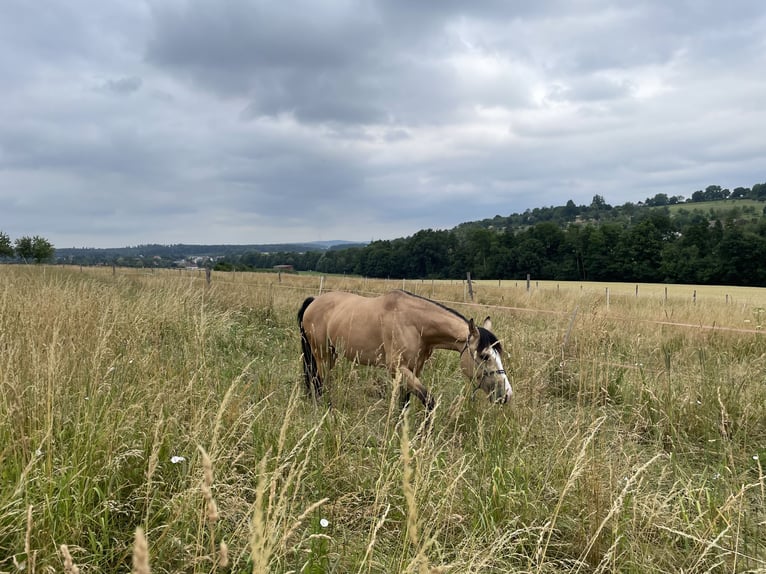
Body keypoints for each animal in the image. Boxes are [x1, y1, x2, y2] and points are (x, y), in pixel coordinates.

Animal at [297, 289, 512, 414]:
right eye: (484, 356)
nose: (506, 394)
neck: (414, 323)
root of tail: (314, 301)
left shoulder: (414, 369)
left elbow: (405, 401)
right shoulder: (398, 368)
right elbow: (429, 400)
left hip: (331, 354)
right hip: (321, 354)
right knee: (319, 381)